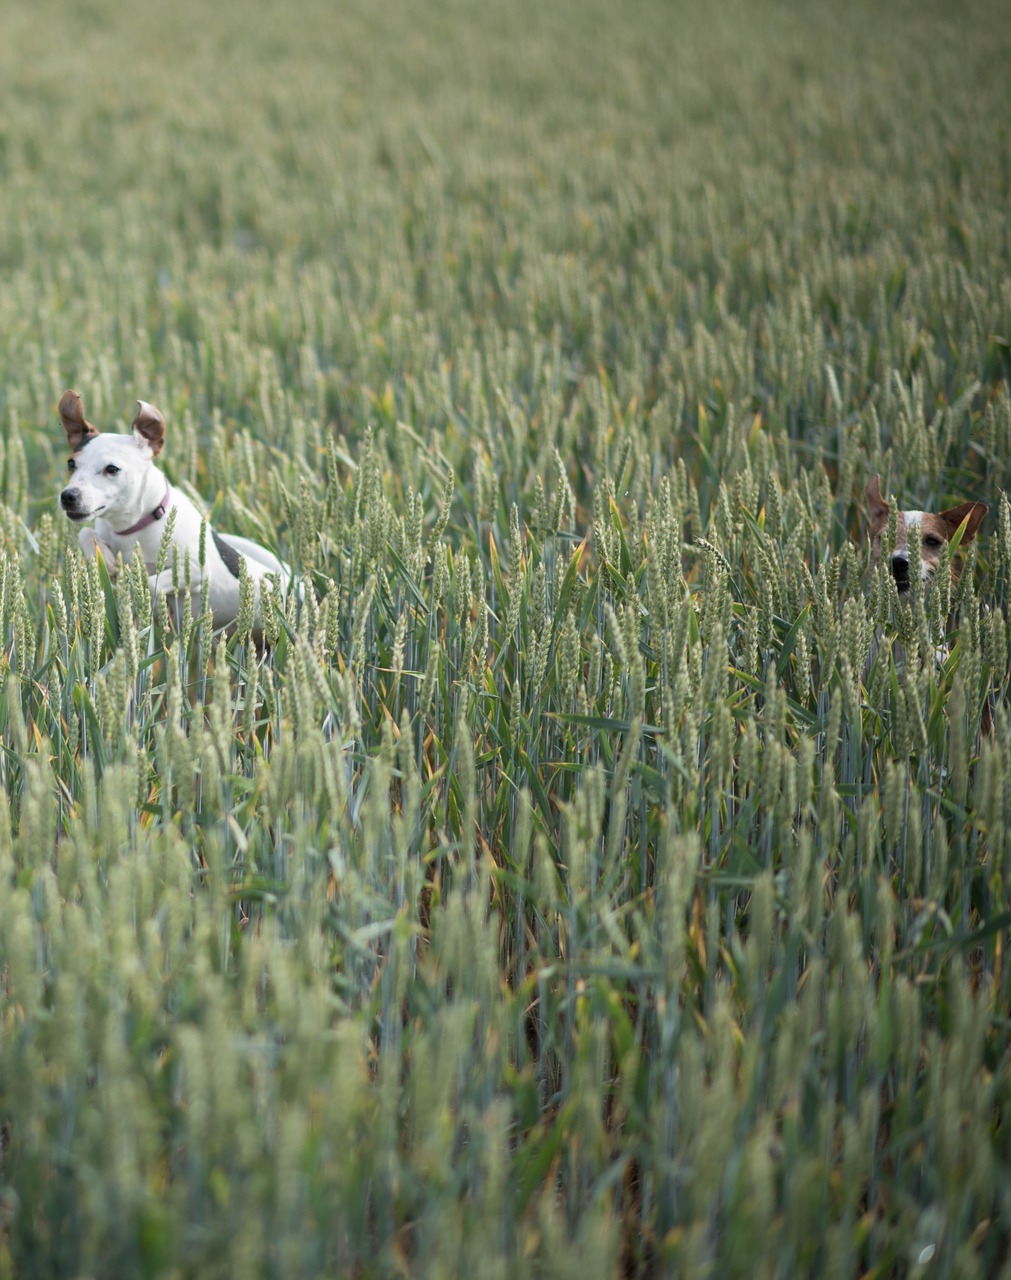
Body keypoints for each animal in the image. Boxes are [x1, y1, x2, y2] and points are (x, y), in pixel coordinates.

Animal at [57, 386, 290, 632]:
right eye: (71, 464)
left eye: (112, 469)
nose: (68, 496)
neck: (134, 527)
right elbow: (85, 533)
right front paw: (105, 558)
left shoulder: (196, 570)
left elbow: (151, 584)